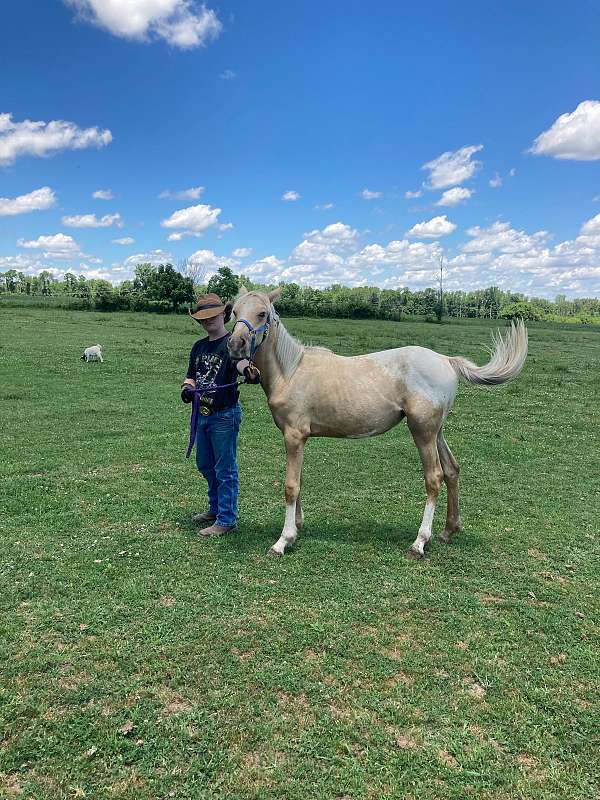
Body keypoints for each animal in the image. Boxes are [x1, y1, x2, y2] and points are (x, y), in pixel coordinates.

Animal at [227, 286, 528, 556]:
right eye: (234, 311)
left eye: (262, 314)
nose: (234, 345)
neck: (291, 372)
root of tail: (446, 360)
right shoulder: (300, 439)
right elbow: (298, 480)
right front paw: (297, 528)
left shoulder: (293, 435)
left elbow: (290, 486)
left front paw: (283, 541)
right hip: (437, 431)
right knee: (452, 470)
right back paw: (447, 531)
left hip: (423, 432)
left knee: (435, 478)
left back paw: (419, 543)